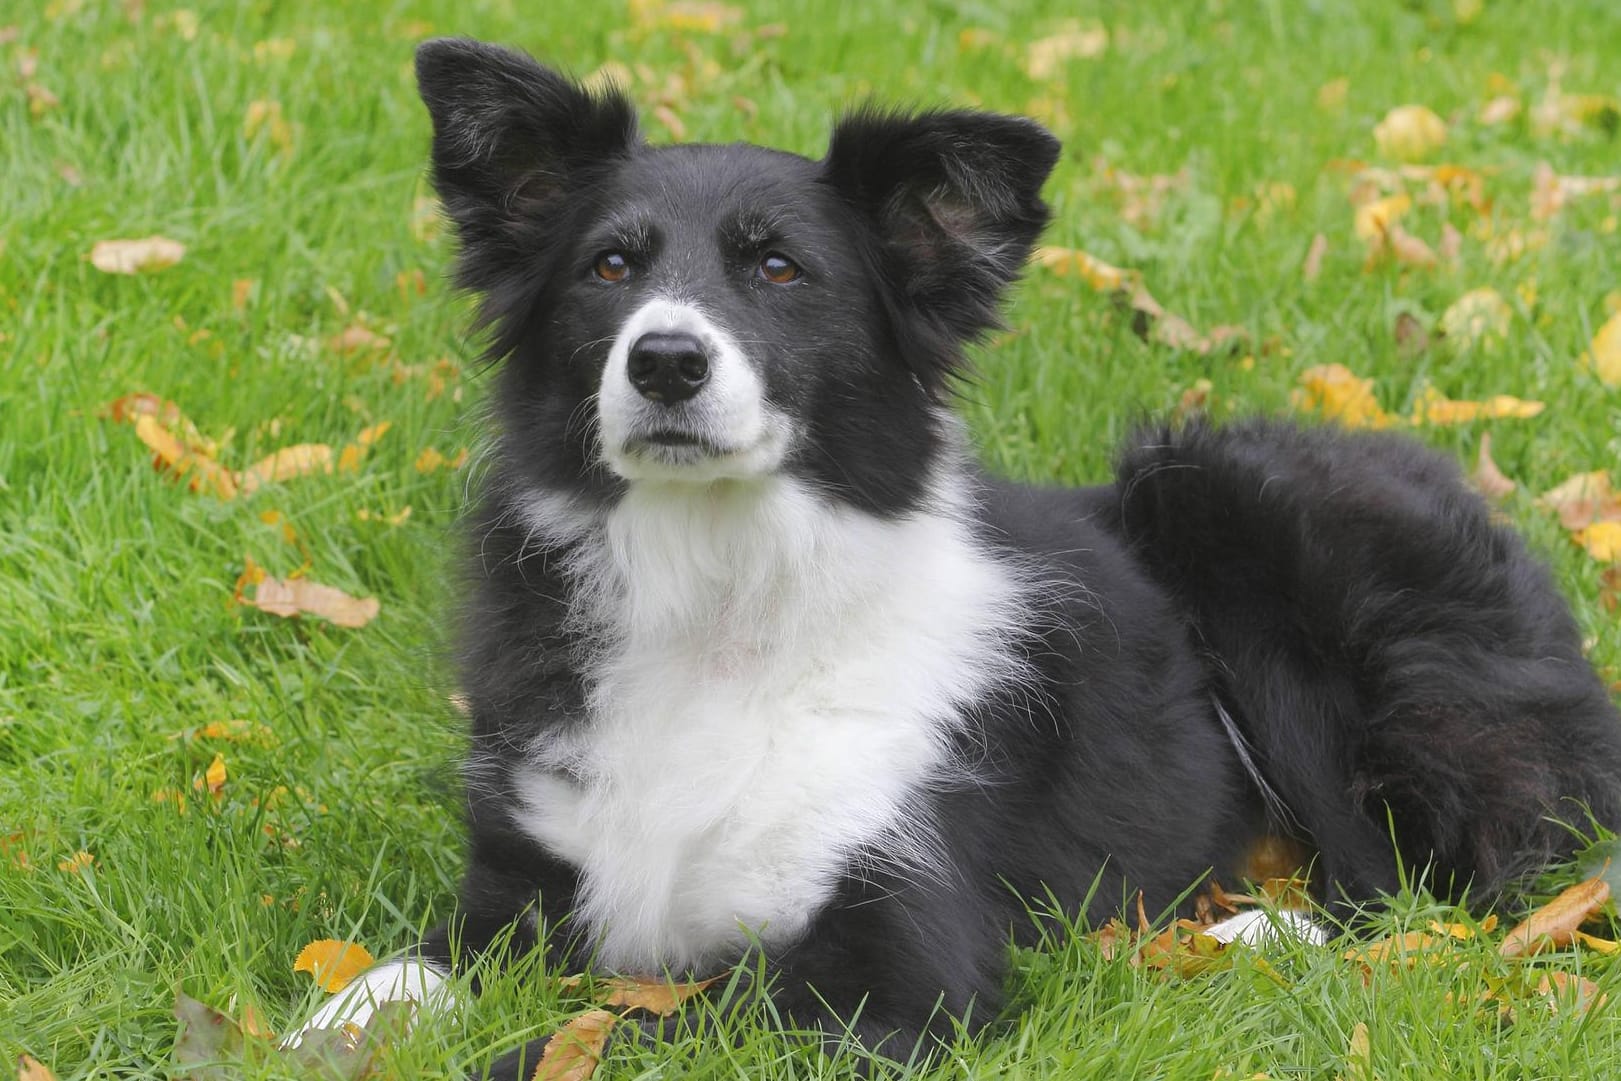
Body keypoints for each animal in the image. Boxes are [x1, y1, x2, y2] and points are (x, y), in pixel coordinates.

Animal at [295, 38, 1621, 1076]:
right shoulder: (524, 888)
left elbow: (613, 1040)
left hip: (1241, 511)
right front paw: (331, 1020)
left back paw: (1227, 940)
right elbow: (406, 973)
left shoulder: (891, 973)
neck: (727, 593)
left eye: (779, 266)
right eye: (608, 266)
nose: (665, 360)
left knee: (1408, 884)